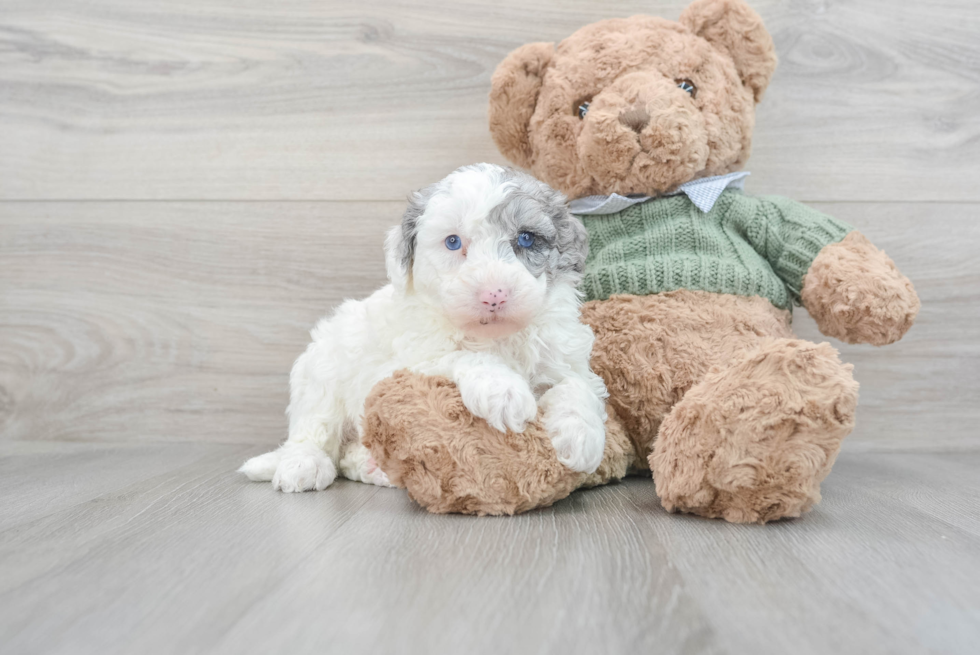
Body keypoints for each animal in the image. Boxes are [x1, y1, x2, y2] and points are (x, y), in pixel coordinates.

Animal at [239, 163, 604, 492]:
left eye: (526, 239)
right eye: (453, 242)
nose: (494, 294)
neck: (496, 337)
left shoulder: (565, 355)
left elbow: (577, 384)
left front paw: (582, 437)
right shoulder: (406, 365)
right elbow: (461, 356)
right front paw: (503, 390)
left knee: (347, 455)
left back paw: (373, 467)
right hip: (320, 375)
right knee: (314, 431)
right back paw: (304, 465)